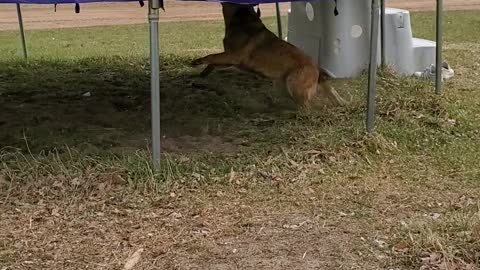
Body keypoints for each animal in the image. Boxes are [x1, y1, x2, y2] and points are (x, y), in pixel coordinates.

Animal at [193, 2, 346, 108]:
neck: (241, 18)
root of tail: (316, 67)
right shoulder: (230, 59)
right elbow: (214, 62)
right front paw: (203, 73)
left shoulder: (233, 56)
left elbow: (211, 56)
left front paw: (196, 61)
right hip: (283, 86)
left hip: (293, 83)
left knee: (309, 106)